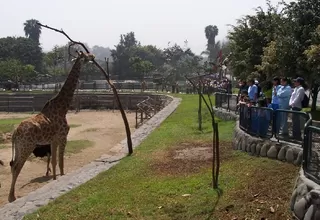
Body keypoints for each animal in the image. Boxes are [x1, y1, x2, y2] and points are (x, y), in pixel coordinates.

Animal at [8, 50, 94, 202]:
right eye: (85, 55)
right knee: (17, 166)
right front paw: (61, 178)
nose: (93, 56)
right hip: (27, 146)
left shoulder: (53, 140)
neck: (63, 108)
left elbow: (53, 162)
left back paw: (10, 196)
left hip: (19, 147)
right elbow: (60, 162)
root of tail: (15, 133)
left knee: (13, 165)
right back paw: (13, 197)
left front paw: (54, 180)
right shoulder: (63, 137)